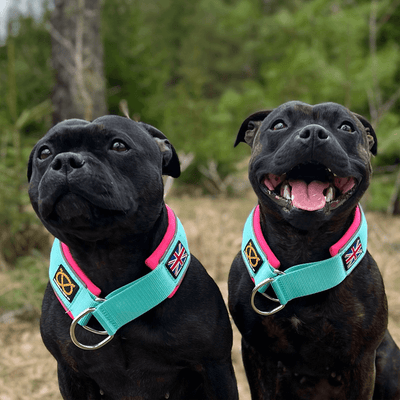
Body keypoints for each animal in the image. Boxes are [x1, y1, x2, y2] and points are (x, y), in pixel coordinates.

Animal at [228, 101, 400, 400]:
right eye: (279, 125)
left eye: (346, 127)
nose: (313, 134)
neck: (303, 260)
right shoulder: (258, 355)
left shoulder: (361, 362)